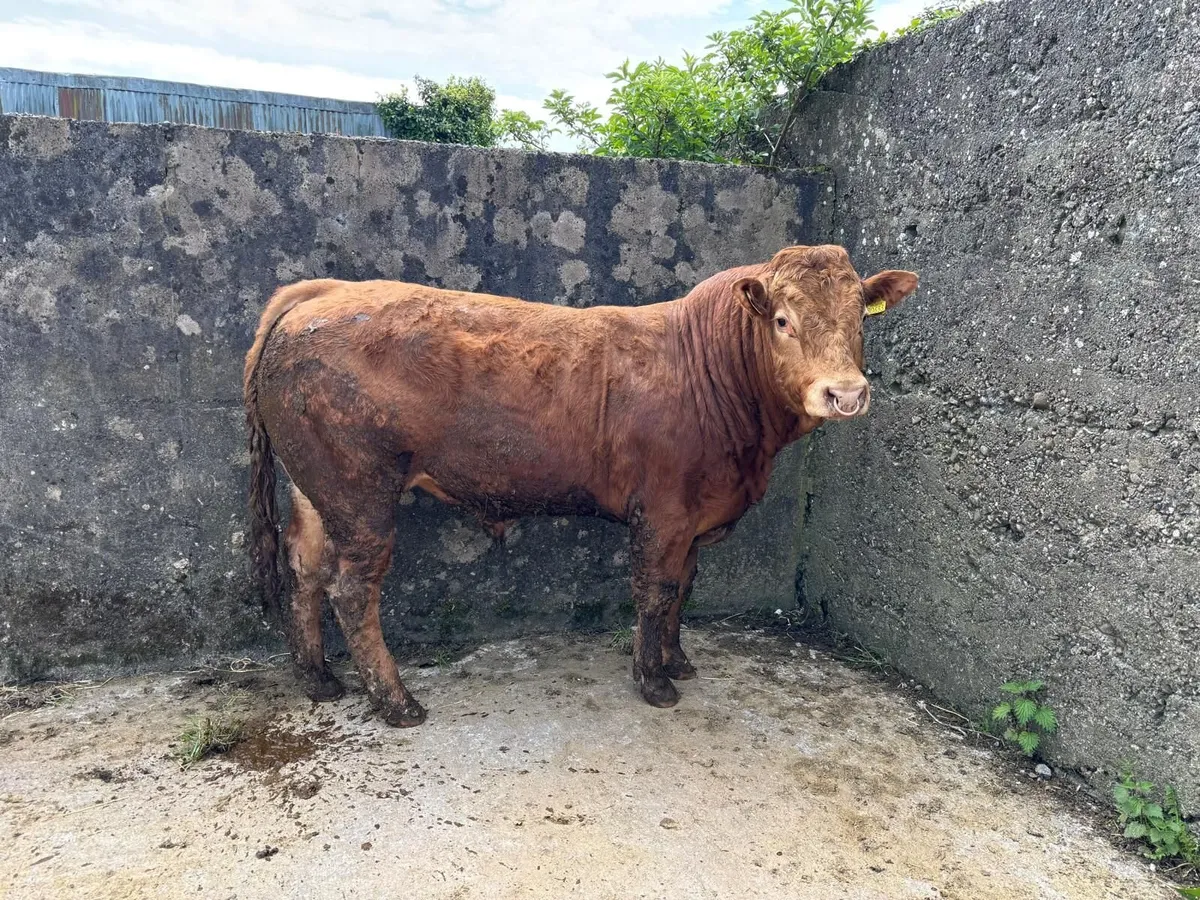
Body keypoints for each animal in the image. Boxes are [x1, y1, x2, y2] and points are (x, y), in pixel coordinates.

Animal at [243, 244, 917, 727]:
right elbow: (654, 591)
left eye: (859, 320)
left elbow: (683, 588)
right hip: (361, 491)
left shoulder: (694, 517)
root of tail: (324, 291)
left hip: (314, 489)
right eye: (782, 320)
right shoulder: (663, 510)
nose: (845, 393)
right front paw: (654, 681)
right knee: (353, 589)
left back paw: (319, 679)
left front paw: (677, 660)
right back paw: (396, 703)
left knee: (304, 570)